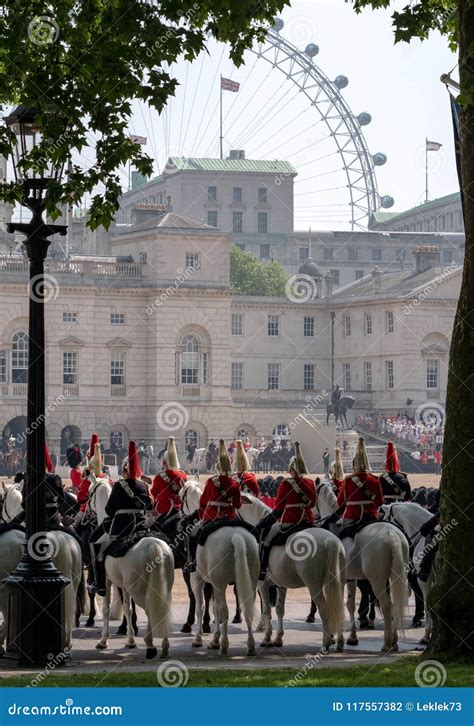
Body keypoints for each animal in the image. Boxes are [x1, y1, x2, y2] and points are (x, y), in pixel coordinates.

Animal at [181, 480, 260, 656]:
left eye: (181, 496)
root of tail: (236, 536)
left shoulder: (197, 579)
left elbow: (201, 607)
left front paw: (200, 639)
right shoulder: (212, 583)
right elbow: (214, 608)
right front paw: (214, 639)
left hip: (219, 583)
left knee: (224, 610)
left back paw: (224, 646)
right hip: (249, 579)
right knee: (247, 607)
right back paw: (251, 645)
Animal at [314, 480, 408, 652]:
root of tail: (391, 534)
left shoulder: (337, 579)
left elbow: (337, 603)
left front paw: (335, 638)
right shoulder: (351, 578)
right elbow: (350, 604)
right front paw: (352, 637)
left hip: (377, 580)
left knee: (386, 604)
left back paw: (386, 643)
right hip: (393, 576)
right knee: (394, 604)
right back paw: (395, 641)